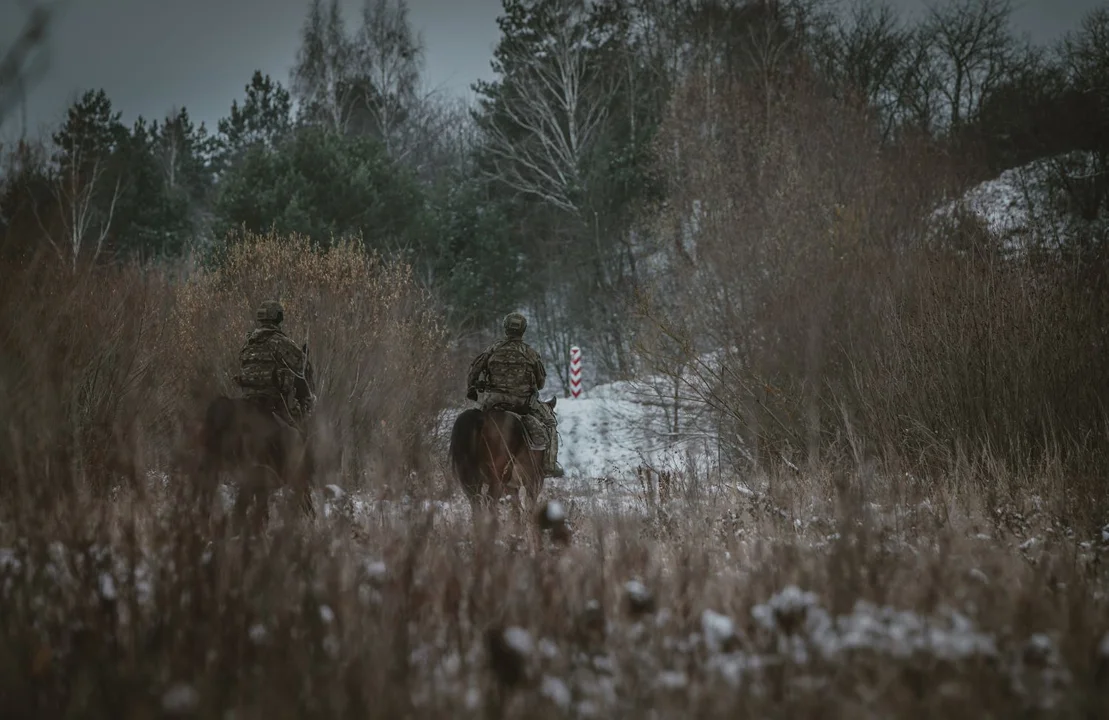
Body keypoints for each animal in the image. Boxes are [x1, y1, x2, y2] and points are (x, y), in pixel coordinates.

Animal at [448, 394, 558, 536]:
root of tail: (481, 418)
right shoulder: (534, 481)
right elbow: (528, 509)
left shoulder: (511, 486)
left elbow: (516, 509)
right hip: (498, 478)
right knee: (490, 501)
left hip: (472, 480)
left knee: (476, 502)